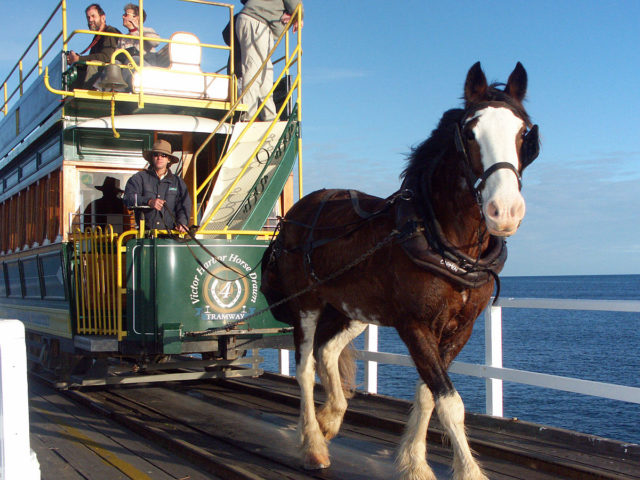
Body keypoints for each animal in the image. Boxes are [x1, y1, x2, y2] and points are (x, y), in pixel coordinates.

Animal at [262, 62, 540, 480]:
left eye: (524, 132)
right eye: (470, 132)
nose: (504, 210)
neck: (443, 237)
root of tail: (296, 212)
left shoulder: (460, 328)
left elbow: (428, 393)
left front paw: (413, 462)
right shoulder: (415, 325)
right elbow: (450, 402)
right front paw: (464, 470)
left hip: (352, 310)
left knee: (328, 352)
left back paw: (333, 416)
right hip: (307, 304)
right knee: (305, 367)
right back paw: (313, 443)